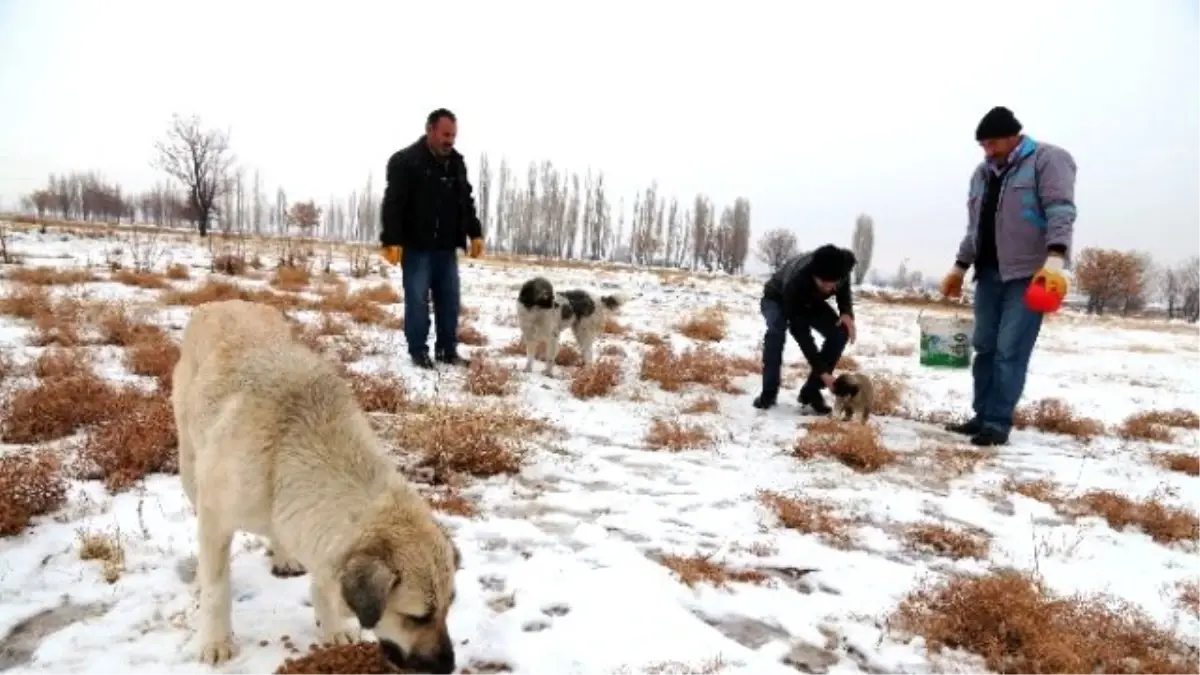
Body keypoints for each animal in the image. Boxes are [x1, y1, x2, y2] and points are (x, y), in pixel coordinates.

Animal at [174, 299, 458, 672]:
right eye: (417, 618)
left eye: (449, 607)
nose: (450, 665)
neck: (287, 448)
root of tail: (221, 301)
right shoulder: (215, 517)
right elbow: (217, 590)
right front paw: (216, 641)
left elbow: (322, 585)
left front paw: (333, 628)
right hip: (190, 470)